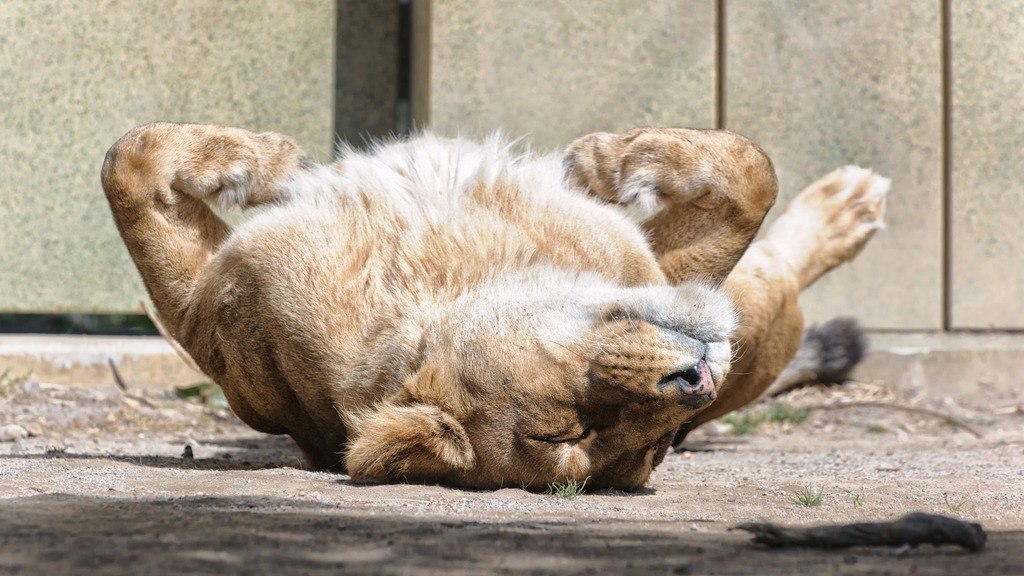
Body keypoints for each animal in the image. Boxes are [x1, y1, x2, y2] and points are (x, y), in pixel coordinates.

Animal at [101, 123, 888, 485]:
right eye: (571, 431)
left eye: (656, 445)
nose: (694, 385)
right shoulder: (209, 306)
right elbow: (129, 163)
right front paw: (264, 158)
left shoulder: (647, 260)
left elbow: (752, 172)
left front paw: (610, 158)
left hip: (758, 320)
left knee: (775, 269)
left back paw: (849, 205)